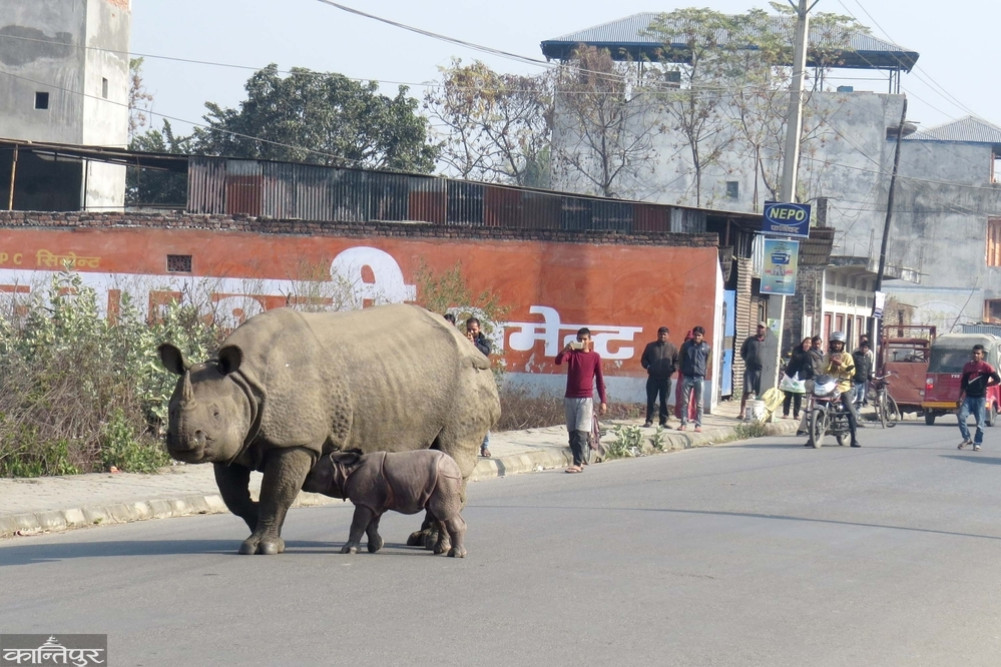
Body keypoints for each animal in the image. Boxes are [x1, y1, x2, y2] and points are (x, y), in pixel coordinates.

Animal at [158, 304, 499, 555]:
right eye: (171, 410)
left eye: (215, 413)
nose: (184, 442)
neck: (243, 384)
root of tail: (465, 341)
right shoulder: (232, 445)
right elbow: (234, 497)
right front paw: (257, 525)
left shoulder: (296, 440)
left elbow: (276, 490)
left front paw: (263, 545)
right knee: (434, 458)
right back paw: (423, 541)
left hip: (468, 380)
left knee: (452, 453)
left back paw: (432, 544)